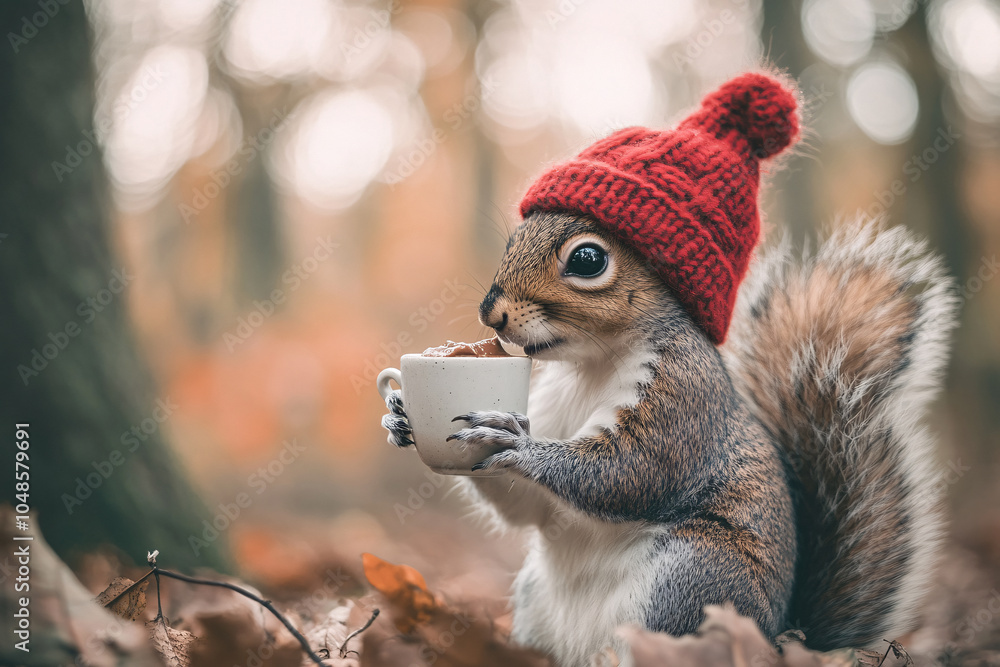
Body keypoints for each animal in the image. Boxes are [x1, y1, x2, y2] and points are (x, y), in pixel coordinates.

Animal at [378, 70, 956, 664]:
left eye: (587, 259)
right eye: (514, 237)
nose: (490, 312)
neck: (591, 365)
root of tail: (779, 639)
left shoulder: (683, 397)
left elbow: (631, 471)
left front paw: (513, 440)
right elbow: (527, 509)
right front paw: (399, 416)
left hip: (691, 579)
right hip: (542, 598)